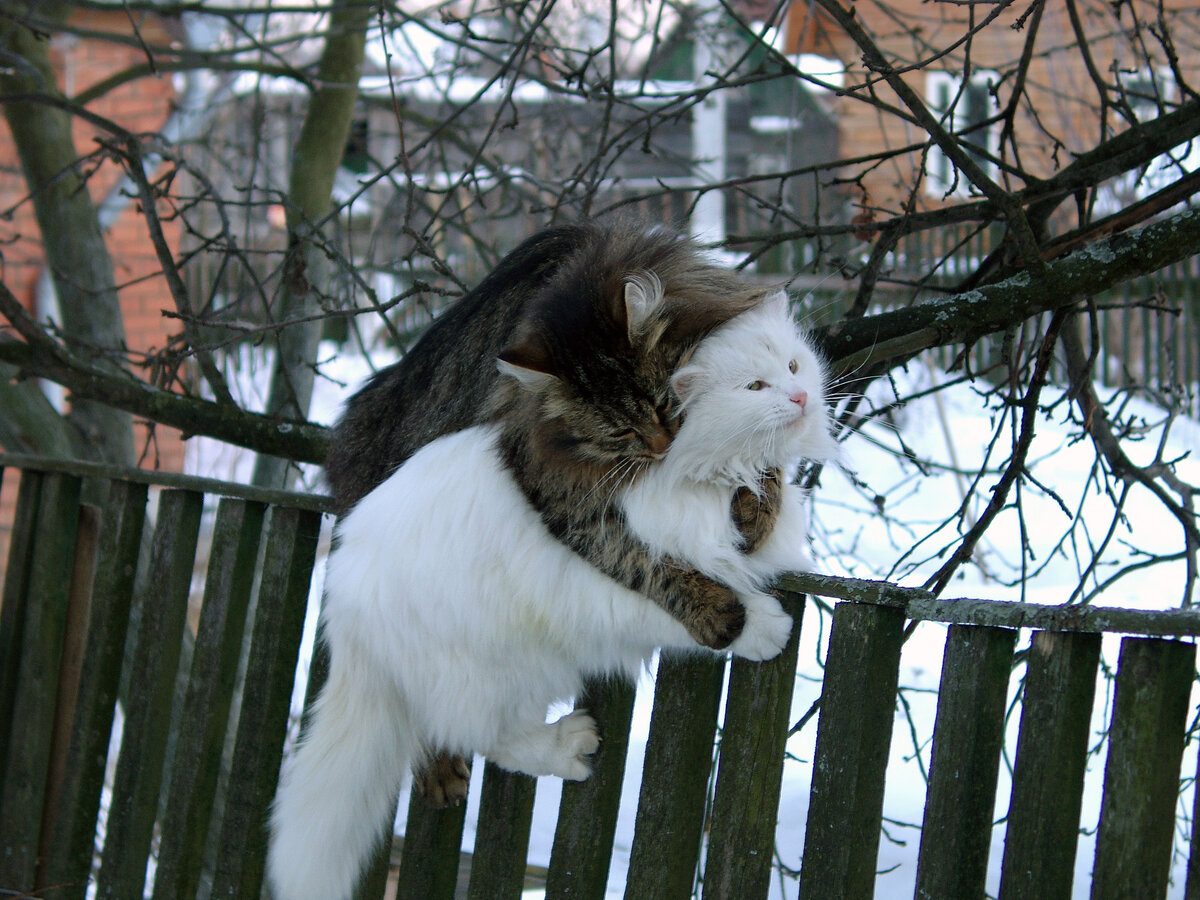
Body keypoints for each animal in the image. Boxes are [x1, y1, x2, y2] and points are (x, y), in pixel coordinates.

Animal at [268, 294, 840, 900]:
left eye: (795, 366)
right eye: (755, 386)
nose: (801, 396)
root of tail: (342, 602)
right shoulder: (613, 581)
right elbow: (697, 604)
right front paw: (764, 629)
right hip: (498, 673)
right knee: (491, 738)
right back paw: (571, 745)